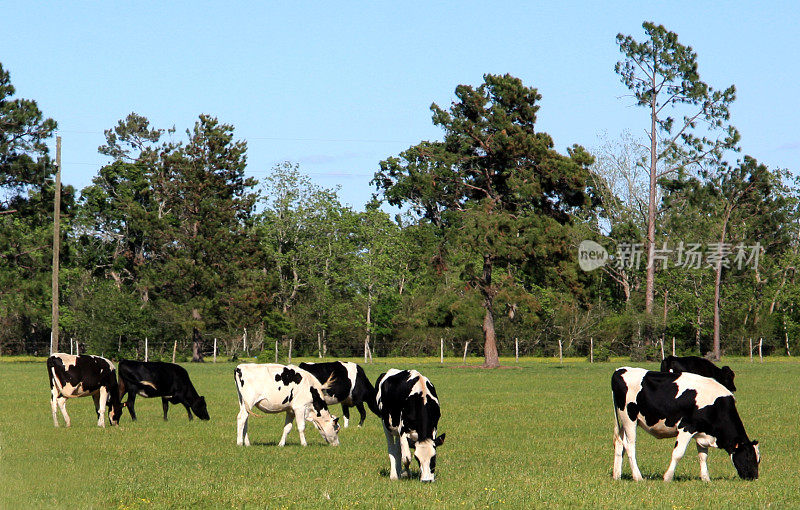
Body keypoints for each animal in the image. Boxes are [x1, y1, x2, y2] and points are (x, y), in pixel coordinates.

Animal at [612, 366, 764, 482]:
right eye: (748, 456)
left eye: (759, 459)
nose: (754, 477)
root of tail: (620, 370)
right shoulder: (686, 427)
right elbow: (678, 453)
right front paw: (668, 478)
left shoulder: (702, 432)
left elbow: (703, 456)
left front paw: (706, 479)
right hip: (629, 418)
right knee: (630, 446)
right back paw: (638, 477)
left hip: (625, 422)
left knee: (619, 443)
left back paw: (617, 475)